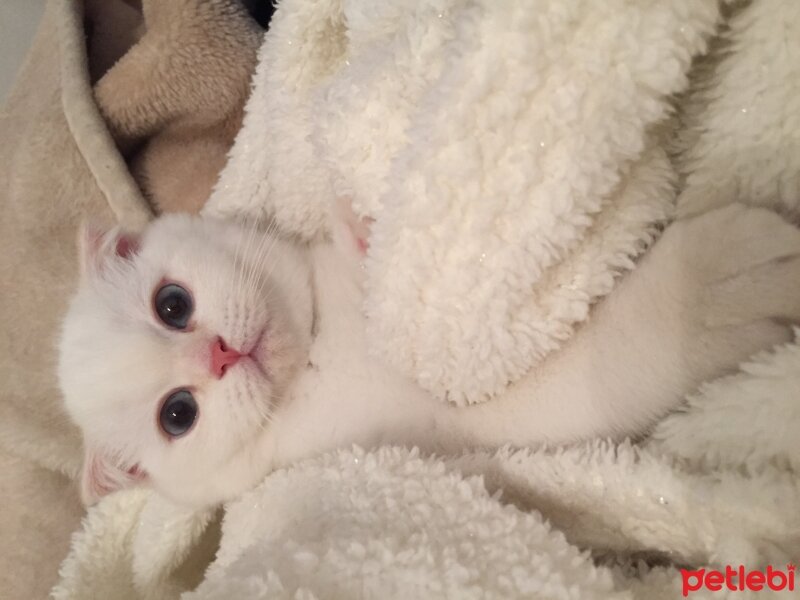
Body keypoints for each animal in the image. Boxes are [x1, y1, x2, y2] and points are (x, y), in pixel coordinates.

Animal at [59, 203, 800, 506]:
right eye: (177, 415)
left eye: (171, 304)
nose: (219, 355)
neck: (321, 340)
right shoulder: (466, 419)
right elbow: (616, 353)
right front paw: (714, 289)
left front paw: (362, 232)